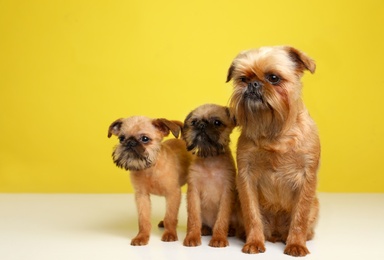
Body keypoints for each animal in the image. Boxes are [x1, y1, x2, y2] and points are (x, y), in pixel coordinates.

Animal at [107, 116, 192, 246]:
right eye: (121, 138)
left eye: (145, 139)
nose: (130, 142)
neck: (150, 168)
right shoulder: (142, 196)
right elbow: (144, 219)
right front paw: (142, 236)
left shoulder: (173, 194)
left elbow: (170, 216)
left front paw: (170, 234)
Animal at [182, 103, 238, 248]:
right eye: (194, 122)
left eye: (217, 122)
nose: (201, 125)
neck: (210, 160)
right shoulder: (193, 193)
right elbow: (194, 217)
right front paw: (192, 236)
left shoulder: (227, 193)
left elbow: (222, 218)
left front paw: (219, 238)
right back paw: (204, 229)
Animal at [226, 46, 320, 256]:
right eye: (243, 78)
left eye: (274, 78)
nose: (253, 84)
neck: (275, 132)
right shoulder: (246, 177)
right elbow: (252, 214)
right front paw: (254, 241)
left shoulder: (307, 177)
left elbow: (300, 215)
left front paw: (296, 244)